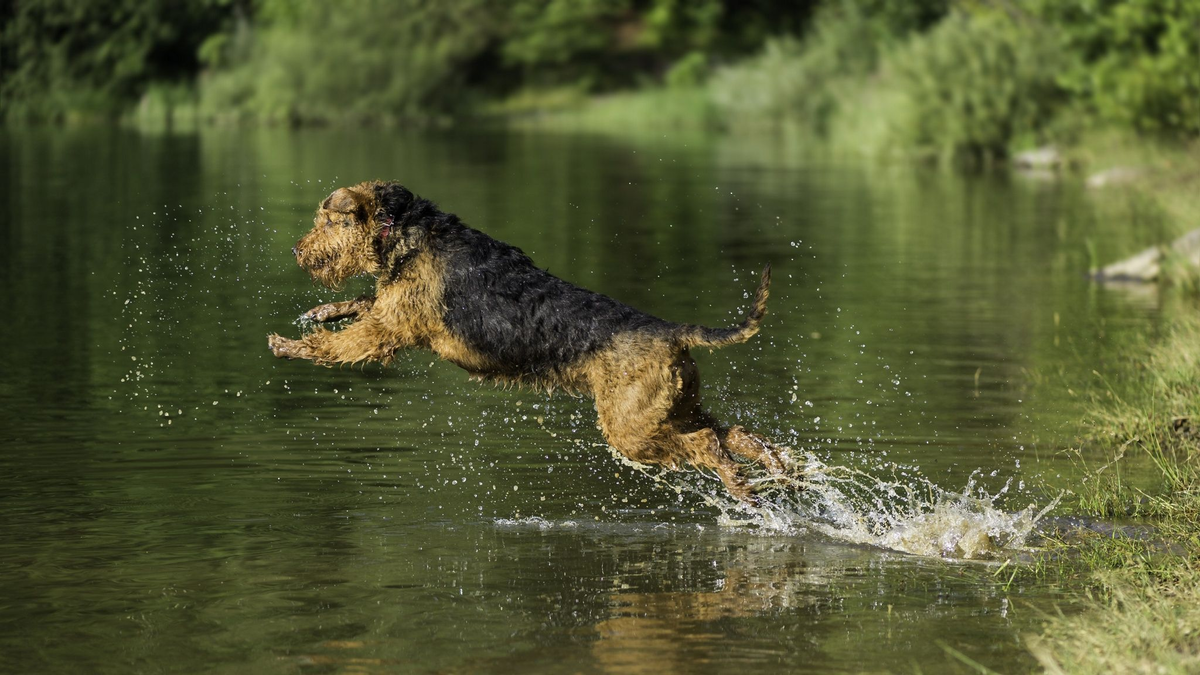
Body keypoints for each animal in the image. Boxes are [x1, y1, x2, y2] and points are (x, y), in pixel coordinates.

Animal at [268, 178, 787, 499]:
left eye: (326, 221)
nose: (296, 250)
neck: (402, 230)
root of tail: (674, 332)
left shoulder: (389, 327)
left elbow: (338, 344)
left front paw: (287, 344)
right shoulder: (393, 314)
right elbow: (360, 302)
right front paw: (319, 312)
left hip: (632, 430)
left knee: (709, 443)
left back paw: (743, 486)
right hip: (673, 408)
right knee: (737, 434)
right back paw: (777, 470)